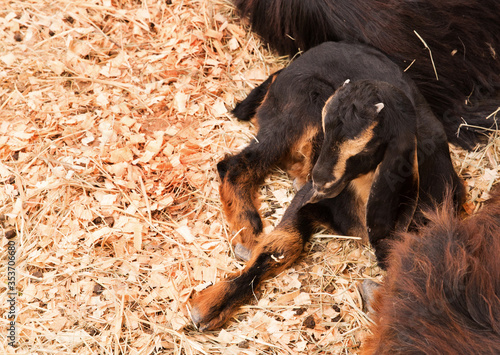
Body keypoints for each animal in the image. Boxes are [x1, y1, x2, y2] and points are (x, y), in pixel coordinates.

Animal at [188, 43, 464, 330]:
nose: (319, 180)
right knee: (234, 165)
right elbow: (283, 246)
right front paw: (210, 306)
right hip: (295, 114)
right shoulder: (306, 199)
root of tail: (290, 66)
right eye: (326, 128)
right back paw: (248, 231)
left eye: (369, 147)